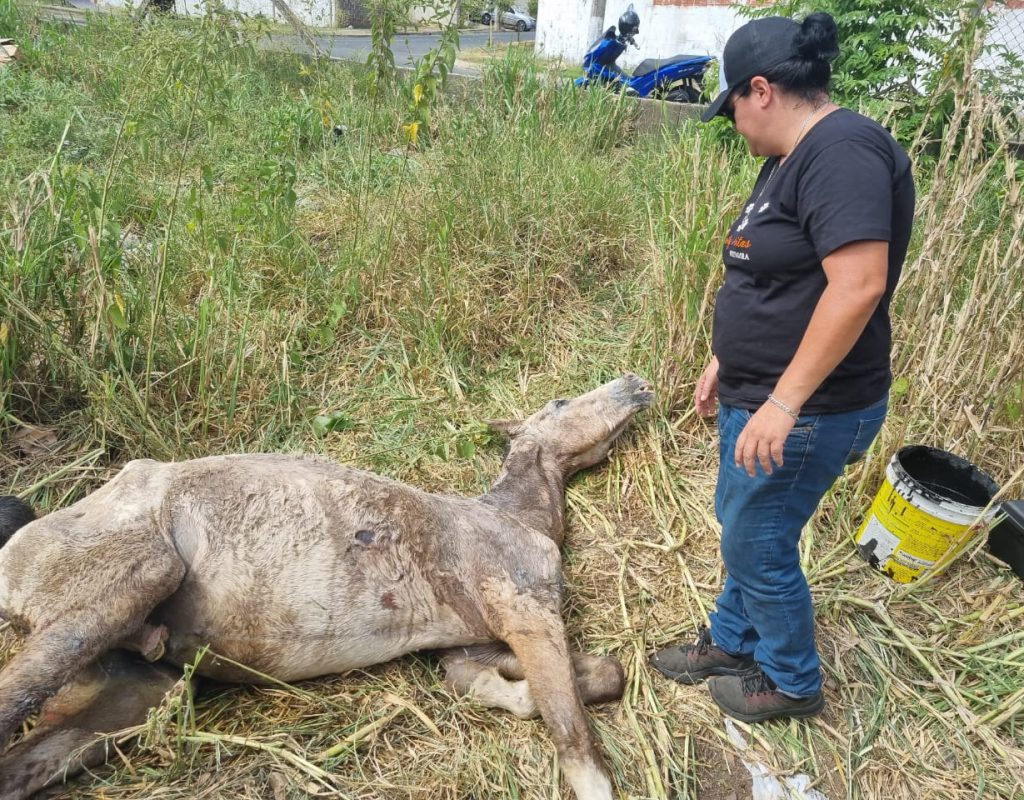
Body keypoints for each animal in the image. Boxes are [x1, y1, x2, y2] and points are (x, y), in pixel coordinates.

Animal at [0, 374, 651, 798]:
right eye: (560, 400)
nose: (635, 382)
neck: (514, 515)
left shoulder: (475, 645)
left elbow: (578, 678)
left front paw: (511, 695)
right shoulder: (525, 611)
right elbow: (573, 732)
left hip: (138, 693)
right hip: (116, 597)